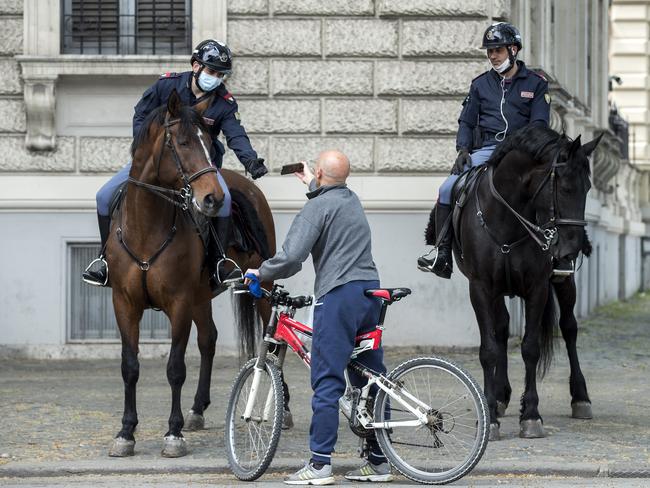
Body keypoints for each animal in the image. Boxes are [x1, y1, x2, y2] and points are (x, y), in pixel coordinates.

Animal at [103, 88, 274, 458]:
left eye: (209, 142)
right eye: (181, 143)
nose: (214, 198)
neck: (147, 228)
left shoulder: (178, 303)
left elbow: (175, 368)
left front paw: (173, 433)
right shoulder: (124, 303)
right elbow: (129, 367)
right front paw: (126, 432)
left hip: (263, 287)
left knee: (272, 345)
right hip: (201, 297)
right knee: (209, 339)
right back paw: (197, 409)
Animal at [428, 125, 600, 438]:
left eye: (588, 189)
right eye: (566, 188)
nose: (572, 249)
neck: (507, 218)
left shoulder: (538, 287)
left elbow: (530, 348)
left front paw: (530, 415)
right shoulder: (481, 288)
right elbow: (489, 349)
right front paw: (490, 415)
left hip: (563, 284)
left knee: (569, 328)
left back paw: (580, 397)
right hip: (497, 292)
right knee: (501, 329)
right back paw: (499, 396)